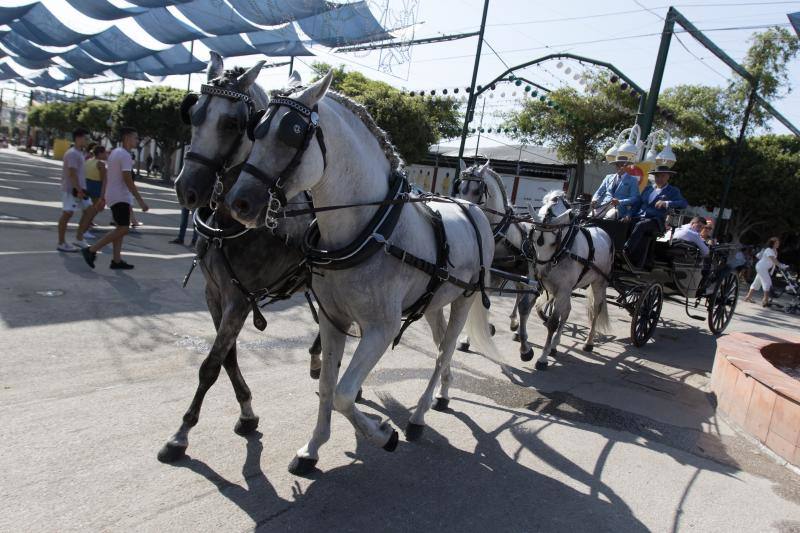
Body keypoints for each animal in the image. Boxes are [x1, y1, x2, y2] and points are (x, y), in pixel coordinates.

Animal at [222, 70, 504, 474]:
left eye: (292, 132)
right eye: (256, 129)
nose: (238, 203)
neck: (369, 228)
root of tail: (473, 209)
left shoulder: (381, 329)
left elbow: (342, 394)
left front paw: (383, 435)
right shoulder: (332, 321)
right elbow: (328, 386)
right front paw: (312, 448)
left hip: (464, 300)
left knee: (443, 353)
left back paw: (418, 416)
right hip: (435, 303)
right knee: (441, 349)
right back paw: (445, 393)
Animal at [456, 158, 536, 360]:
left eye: (477, 191)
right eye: (460, 187)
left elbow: (526, 305)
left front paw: (525, 348)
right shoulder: (492, 271)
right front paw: (470, 338)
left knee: (533, 301)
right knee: (520, 293)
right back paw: (514, 324)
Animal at [532, 190, 612, 370]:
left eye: (552, 242)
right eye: (534, 239)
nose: (541, 272)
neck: (565, 248)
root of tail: (603, 232)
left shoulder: (562, 289)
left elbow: (553, 322)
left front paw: (542, 358)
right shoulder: (554, 288)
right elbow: (540, 309)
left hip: (599, 283)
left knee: (596, 310)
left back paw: (589, 343)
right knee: (567, 311)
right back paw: (555, 345)